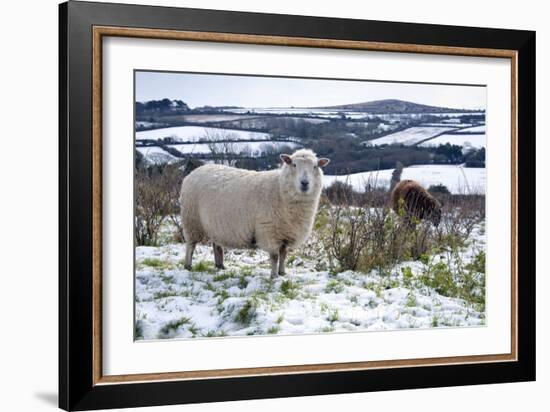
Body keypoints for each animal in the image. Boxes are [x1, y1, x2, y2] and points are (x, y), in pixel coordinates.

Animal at [179, 150, 330, 278]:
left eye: (315, 166)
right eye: (294, 164)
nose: (304, 183)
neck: (280, 189)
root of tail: (192, 173)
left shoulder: (285, 233)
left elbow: (283, 255)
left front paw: (282, 273)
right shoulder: (269, 231)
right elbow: (275, 256)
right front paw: (274, 276)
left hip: (214, 224)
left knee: (217, 245)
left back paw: (220, 265)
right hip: (192, 220)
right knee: (191, 245)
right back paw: (188, 266)